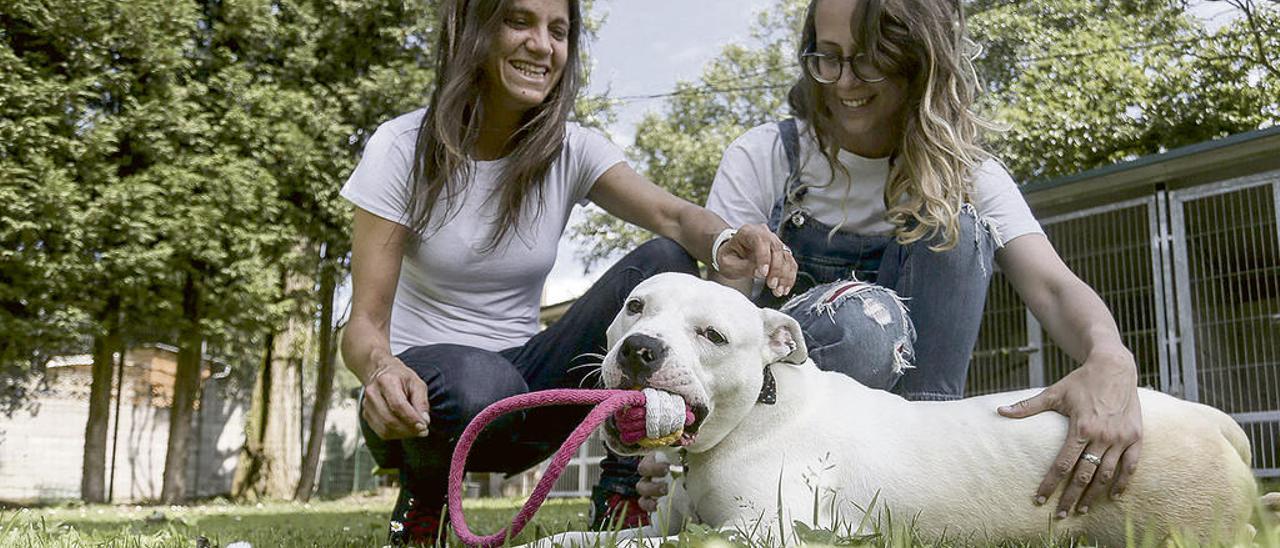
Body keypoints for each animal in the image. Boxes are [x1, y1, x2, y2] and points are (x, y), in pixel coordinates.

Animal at [527, 271, 1259, 545]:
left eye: (712, 335)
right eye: (635, 307)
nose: (641, 349)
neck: (754, 415)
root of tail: (1208, 418)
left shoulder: (760, 533)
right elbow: (594, 538)